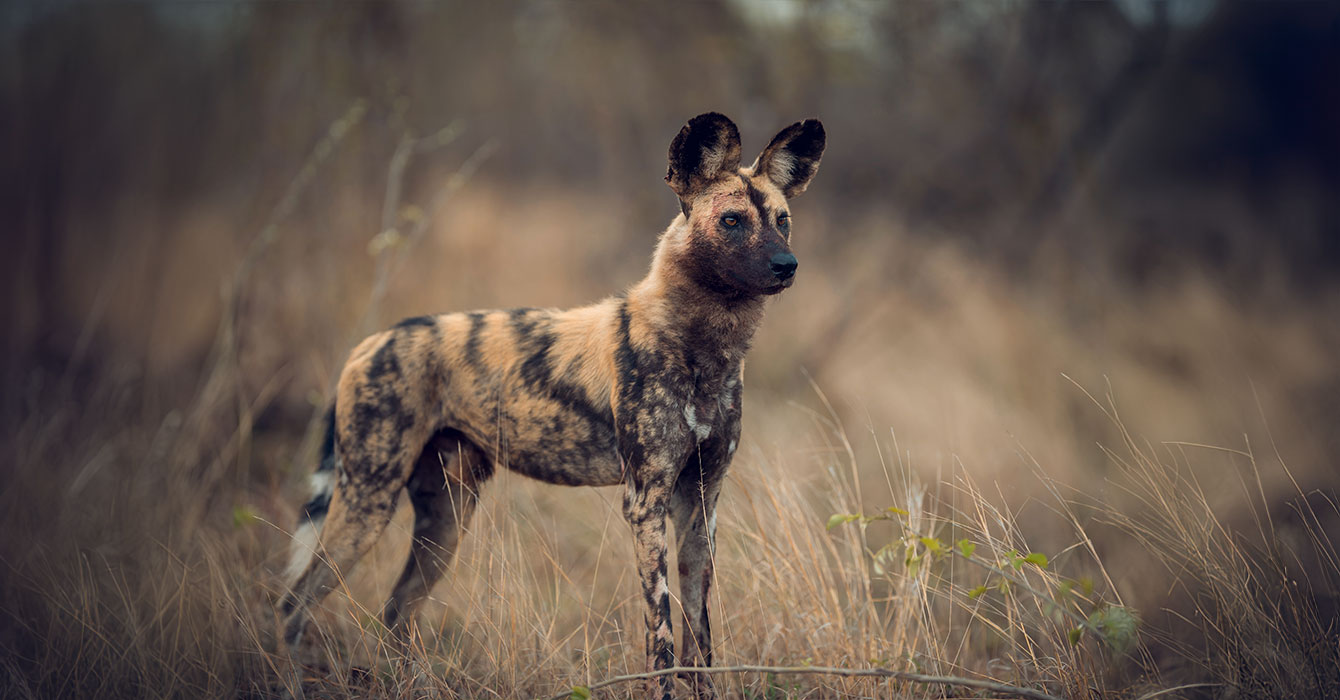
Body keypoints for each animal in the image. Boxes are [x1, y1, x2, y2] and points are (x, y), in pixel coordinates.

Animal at [281, 111, 820, 691]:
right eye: (732, 221)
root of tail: (371, 342)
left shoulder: (701, 503)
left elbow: (701, 641)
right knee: (294, 604)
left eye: (783, 220)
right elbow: (662, 640)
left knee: (397, 608)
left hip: (445, 519)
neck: (702, 348)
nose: (788, 264)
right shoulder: (646, 503)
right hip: (368, 502)